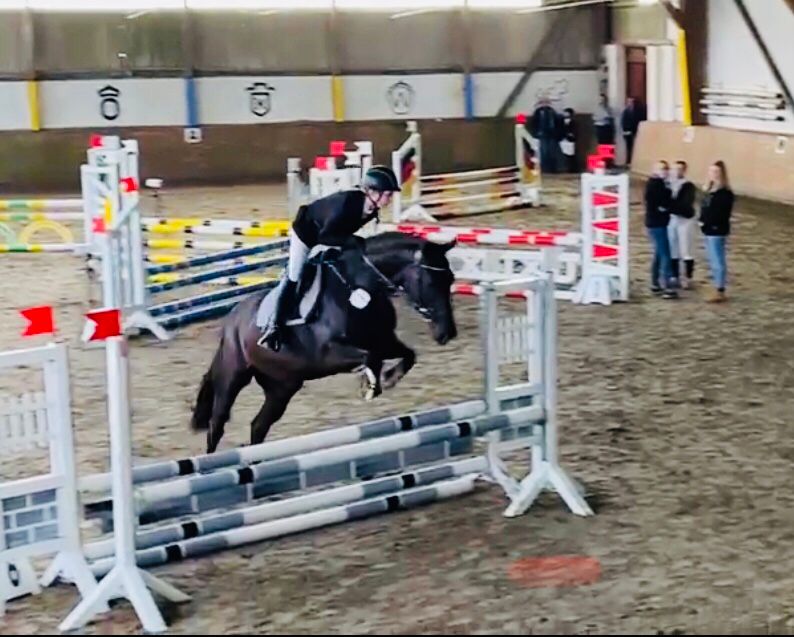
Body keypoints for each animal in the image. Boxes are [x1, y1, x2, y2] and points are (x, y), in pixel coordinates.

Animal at [190, 231, 458, 453]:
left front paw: (389, 378)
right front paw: (371, 386)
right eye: (431, 281)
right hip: (233, 377)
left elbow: (406, 354)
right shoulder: (329, 355)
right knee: (217, 423)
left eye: (451, 279)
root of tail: (231, 320)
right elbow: (370, 356)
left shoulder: (385, 341)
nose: (447, 333)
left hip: (282, 387)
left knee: (258, 426)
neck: (358, 289)